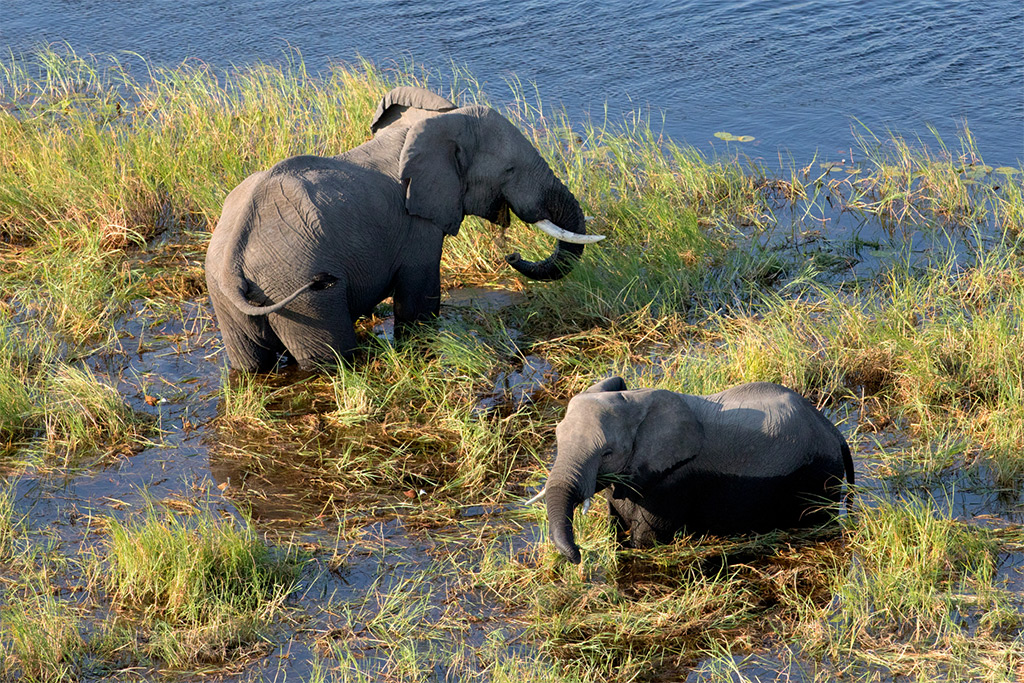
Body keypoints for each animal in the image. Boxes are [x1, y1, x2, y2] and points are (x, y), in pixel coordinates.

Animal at [204, 88, 602, 374]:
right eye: (509, 170)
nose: (512, 254)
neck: (427, 128)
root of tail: (233, 262)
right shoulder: (417, 225)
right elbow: (419, 301)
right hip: (299, 291)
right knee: (329, 357)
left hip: (229, 296)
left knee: (250, 364)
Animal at [536, 376, 856, 565]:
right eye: (557, 438)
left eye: (607, 453)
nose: (578, 556)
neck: (635, 401)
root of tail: (835, 433)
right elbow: (617, 526)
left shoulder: (673, 482)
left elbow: (645, 541)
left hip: (816, 477)